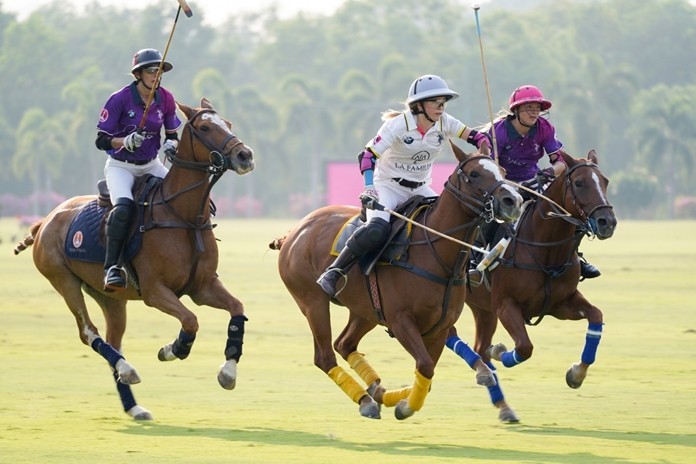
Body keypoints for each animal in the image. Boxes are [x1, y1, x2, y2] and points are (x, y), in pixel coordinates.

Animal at [14, 97, 256, 420]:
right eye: (205, 128)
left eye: (228, 123)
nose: (245, 156)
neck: (183, 216)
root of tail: (45, 220)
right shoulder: (155, 291)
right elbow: (190, 320)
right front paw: (172, 349)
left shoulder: (202, 286)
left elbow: (237, 309)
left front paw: (228, 372)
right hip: (63, 280)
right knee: (88, 332)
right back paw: (128, 369)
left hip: (110, 298)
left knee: (112, 341)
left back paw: (132, 402)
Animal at [272, 151, 520, 420]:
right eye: (474, 174)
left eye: (503, 172)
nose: (513, 201)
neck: (437, 255)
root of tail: (293, 232)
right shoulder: (401, 321)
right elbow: (425, 367)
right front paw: (404, 406)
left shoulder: (439, 327)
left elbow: (427, 374)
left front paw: (396, 399)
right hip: (312, 302)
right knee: (325, 357)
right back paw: (366, 400)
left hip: (365, 309)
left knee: (344, 343)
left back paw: (374, 394)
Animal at [446, 150, 616, 422]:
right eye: (579, 183)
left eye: (605, 181)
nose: (607, 222)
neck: (545, 248)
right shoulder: (505, 305)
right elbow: (524, 347)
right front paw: (500, 350)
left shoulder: (559, 304)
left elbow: (596, 316)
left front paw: (577, 373)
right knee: (453, 336)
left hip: (483, 309)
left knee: (479, 346)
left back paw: (503, 405)